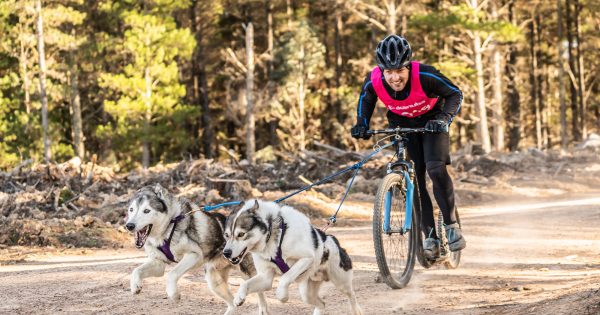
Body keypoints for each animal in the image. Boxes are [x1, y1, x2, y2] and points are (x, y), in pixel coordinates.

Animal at [125, 184, 268, 314]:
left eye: (146, 211)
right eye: (131, 209)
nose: (129, 225)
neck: (169, 226)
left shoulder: (194, 255)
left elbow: (172, 274)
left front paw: (174, 294)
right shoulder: (159, 263)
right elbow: (136, 270)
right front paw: (135, 286)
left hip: (247, 272)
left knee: (259, 291)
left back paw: (262, 309)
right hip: (213, 281)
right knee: (232, 304)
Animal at [220, 200, 360, 315]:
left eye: (241, 234)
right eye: (226, 235)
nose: (226, 252)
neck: (273, 234)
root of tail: (334, 240)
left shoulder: (306, 259)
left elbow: (285, 278)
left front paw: (282, 295)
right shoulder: (265, 277)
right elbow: (245, 284)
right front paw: (239, 297)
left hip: (341, 282)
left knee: (352, 295)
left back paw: (357, 311)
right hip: (307, 293)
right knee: (321, 304)